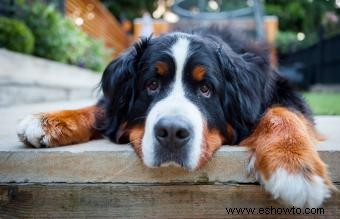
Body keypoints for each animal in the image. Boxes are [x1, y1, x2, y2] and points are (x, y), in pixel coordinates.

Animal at [17, 27, 334, 207]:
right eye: (151, 85)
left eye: (206, 89)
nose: (171, 132)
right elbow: (101, 109)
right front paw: (49, 120)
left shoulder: (282, 92)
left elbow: (283, 113)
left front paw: (293, 167)